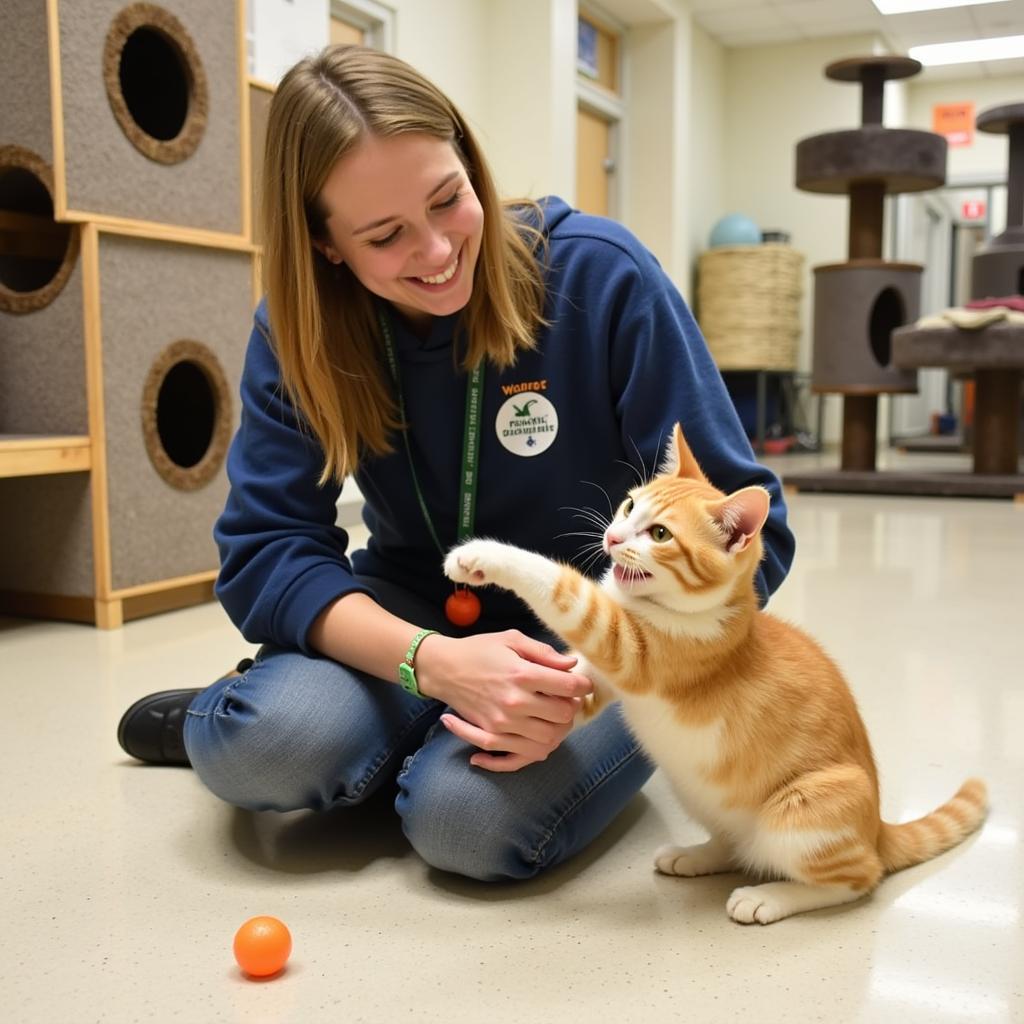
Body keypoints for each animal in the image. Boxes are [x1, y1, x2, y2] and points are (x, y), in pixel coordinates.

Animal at [444, 419, 987, 925]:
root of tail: (877, 829)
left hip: (805, 813)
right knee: (737, 846)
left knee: (857, 878)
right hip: (703, 797)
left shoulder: (628, 646)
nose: (613, 537)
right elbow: (572, 684)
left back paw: (770, 897)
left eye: (660, 534)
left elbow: (560, 586)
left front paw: (482, 554)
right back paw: (696, 855)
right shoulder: (603, 672)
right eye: (629, 507)